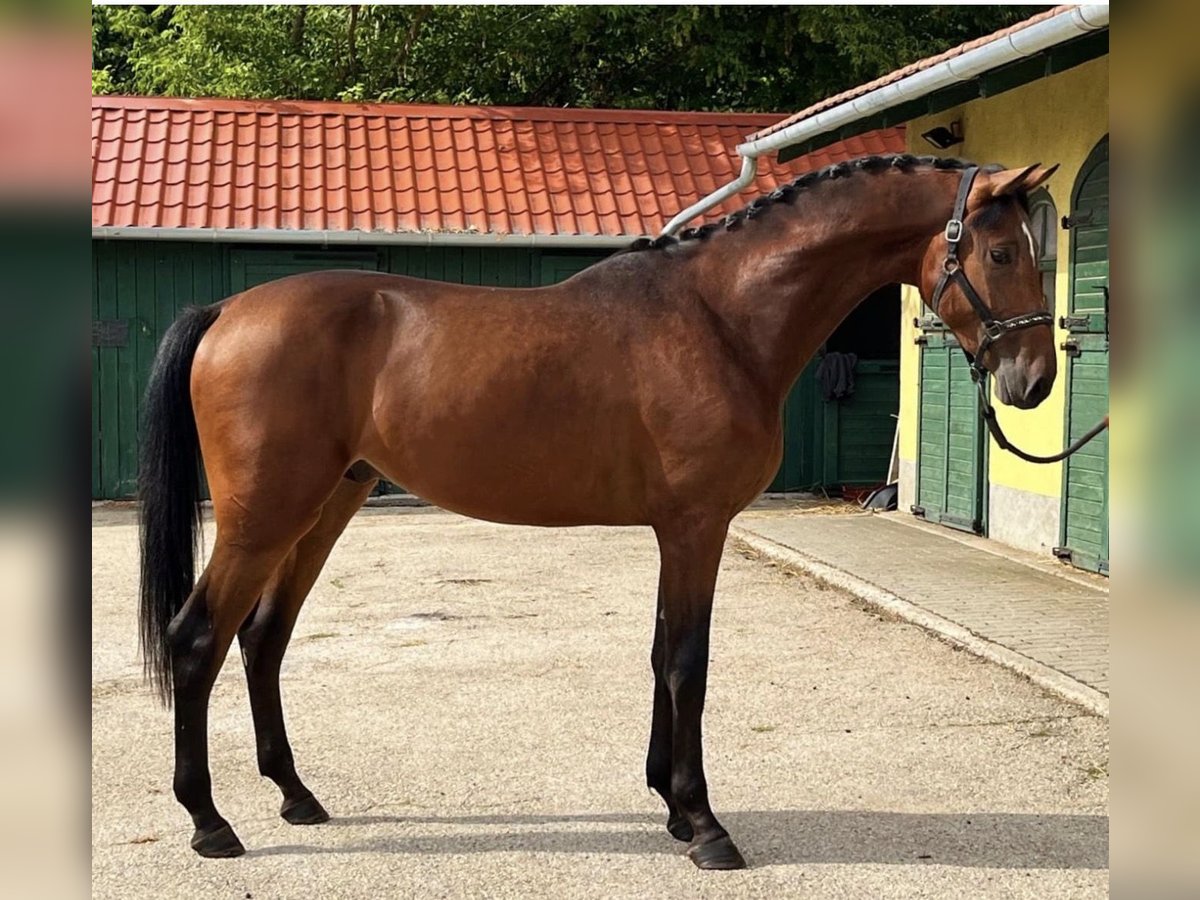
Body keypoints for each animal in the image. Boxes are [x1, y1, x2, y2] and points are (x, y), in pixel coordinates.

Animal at [137, 154, 1059, 868]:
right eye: (1001, 250)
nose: (1035, 381)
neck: (720, 317)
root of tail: (228, 310)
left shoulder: (674, 531)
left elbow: (658, 655)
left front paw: (673, 809)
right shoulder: (696, 528)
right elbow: (688, 663)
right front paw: (707, 827)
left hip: (324, 507)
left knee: (263, 639)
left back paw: (296, 795)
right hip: (266, 515)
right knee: (198, 640)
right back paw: (210, 823)